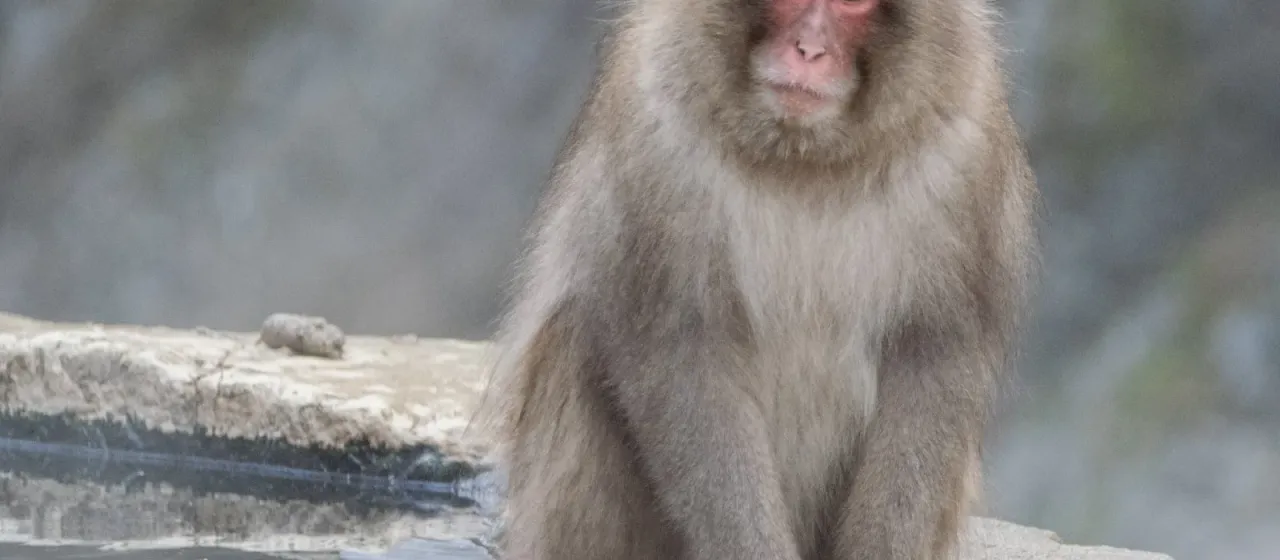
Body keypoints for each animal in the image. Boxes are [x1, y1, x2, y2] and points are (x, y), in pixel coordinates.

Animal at [475, 0, 1038, 558]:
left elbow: (936, 359)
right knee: (573, 337)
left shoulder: (967, 150)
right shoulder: (655, 135)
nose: (808, 50)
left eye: (852, 4)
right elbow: (683, 357)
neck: (807, 159)